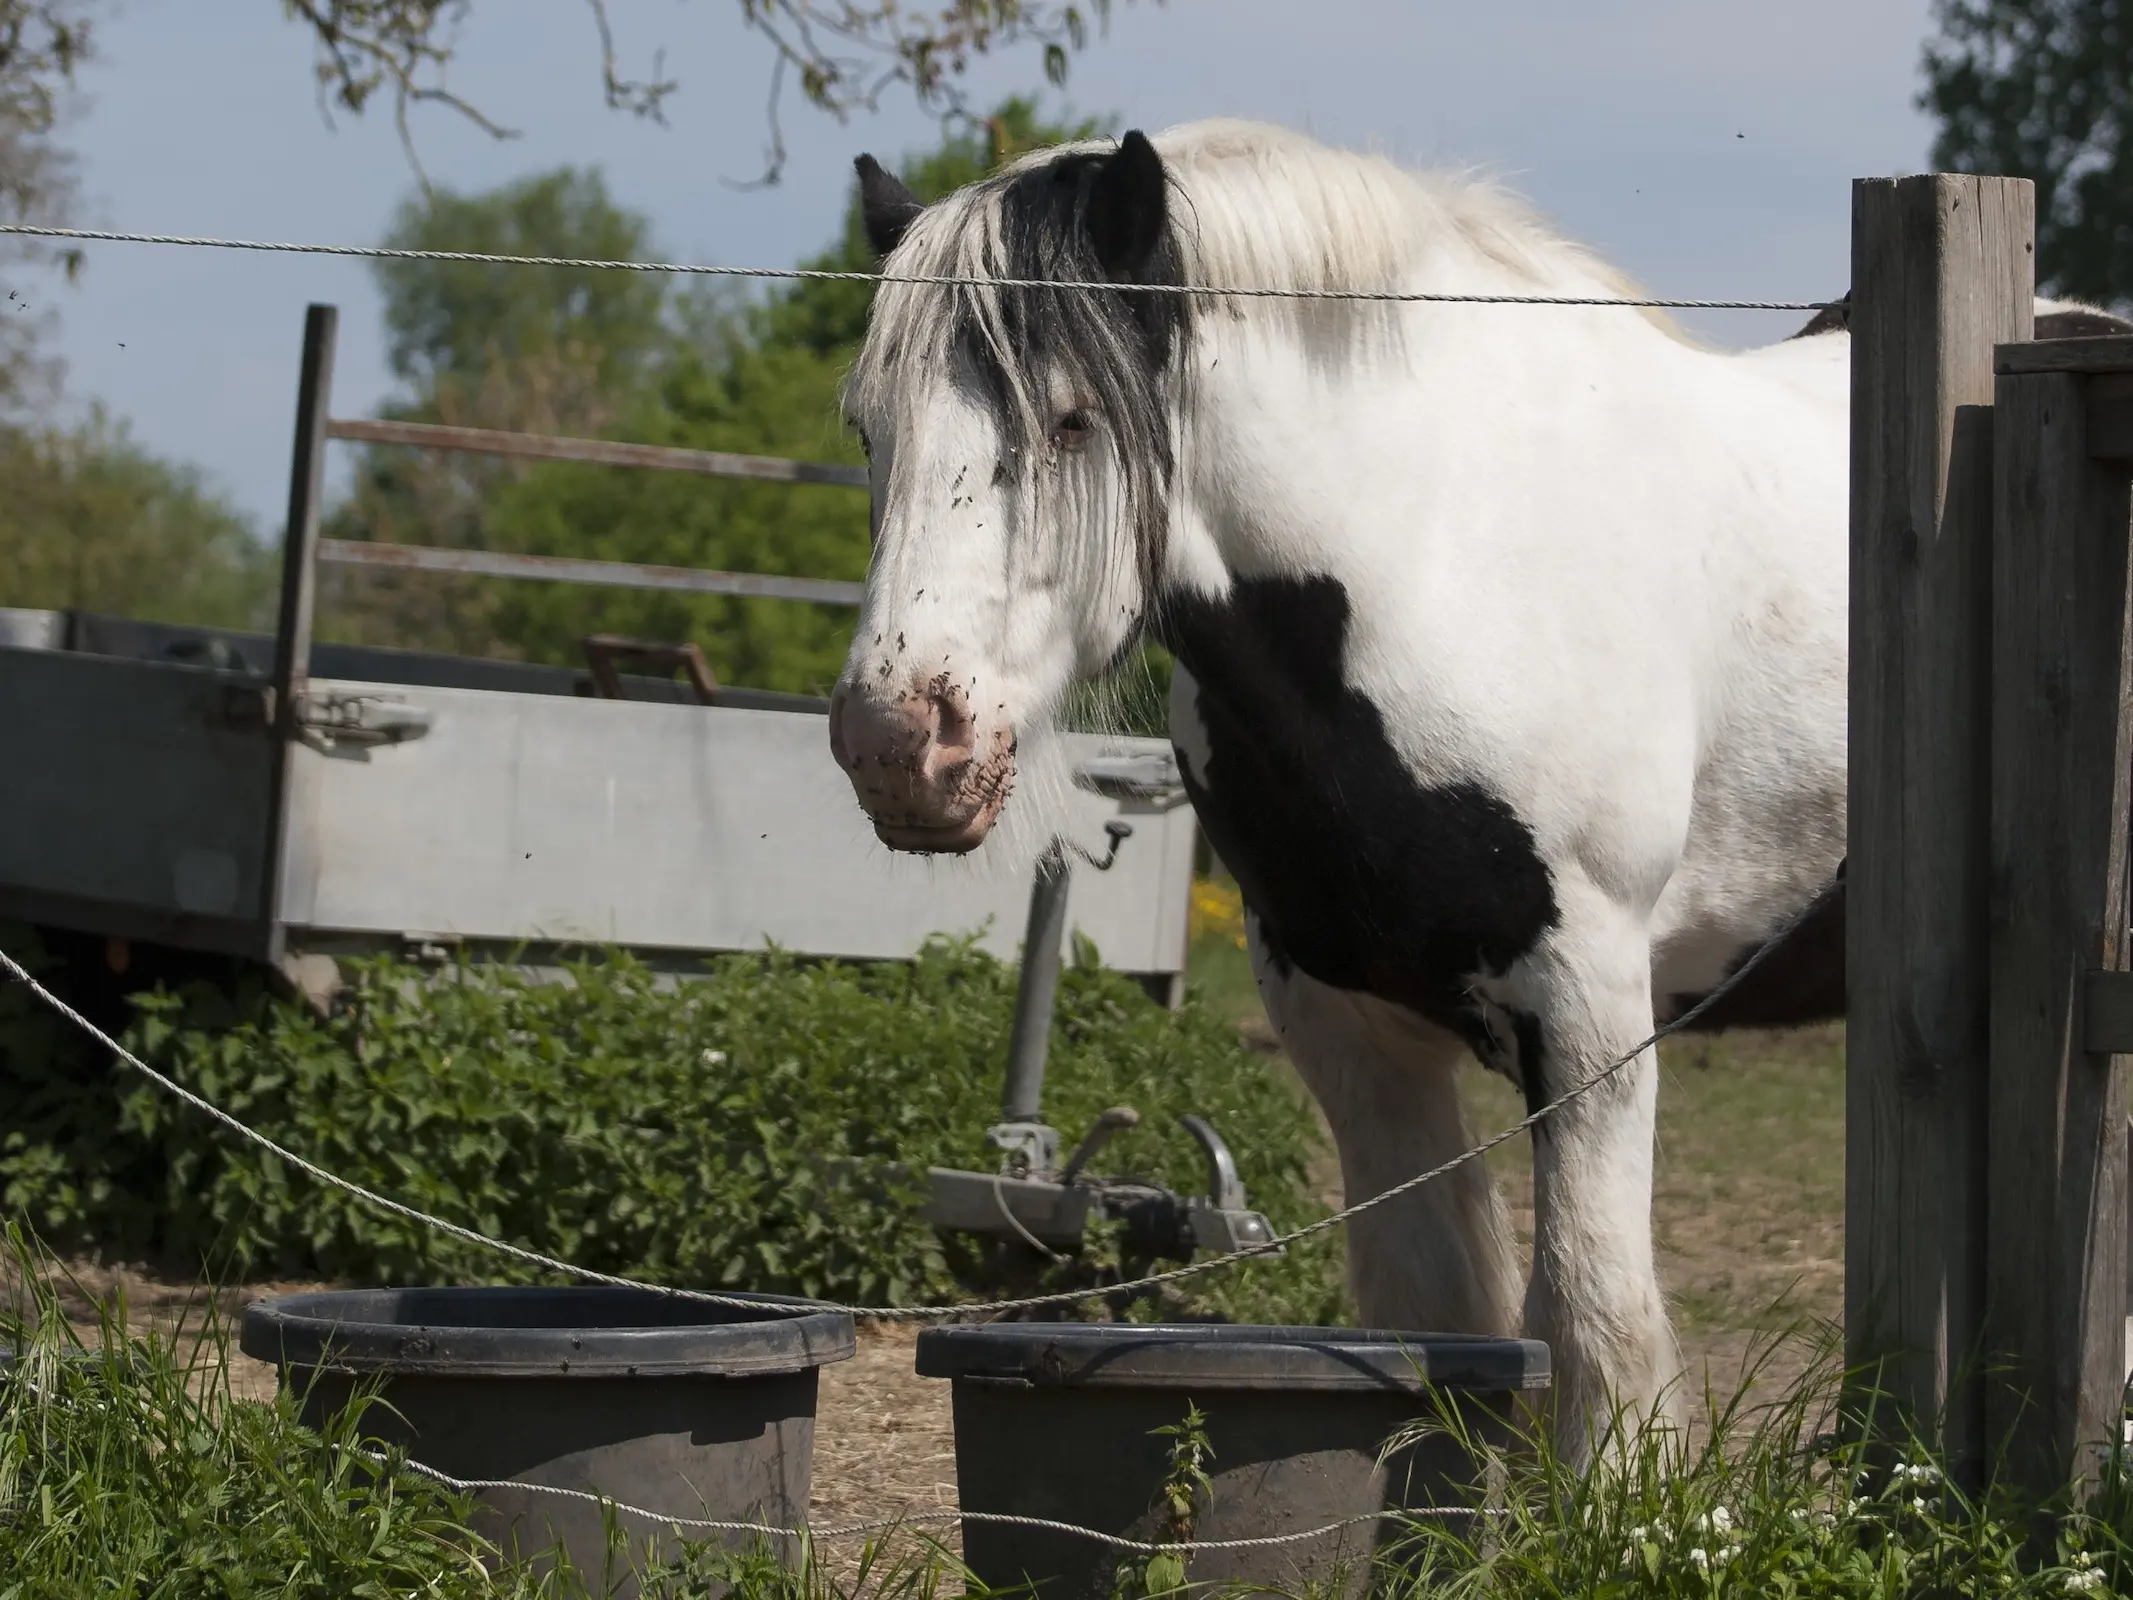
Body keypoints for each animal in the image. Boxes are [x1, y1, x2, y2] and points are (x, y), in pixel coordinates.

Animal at [823, 118, 2107, 1459]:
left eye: (1072, 421)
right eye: (868, 428)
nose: (896, 741)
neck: (1439, 553)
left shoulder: (1590, 1001)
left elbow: (1594, 1320)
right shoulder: (1342, 1020)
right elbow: (1432, 1317)